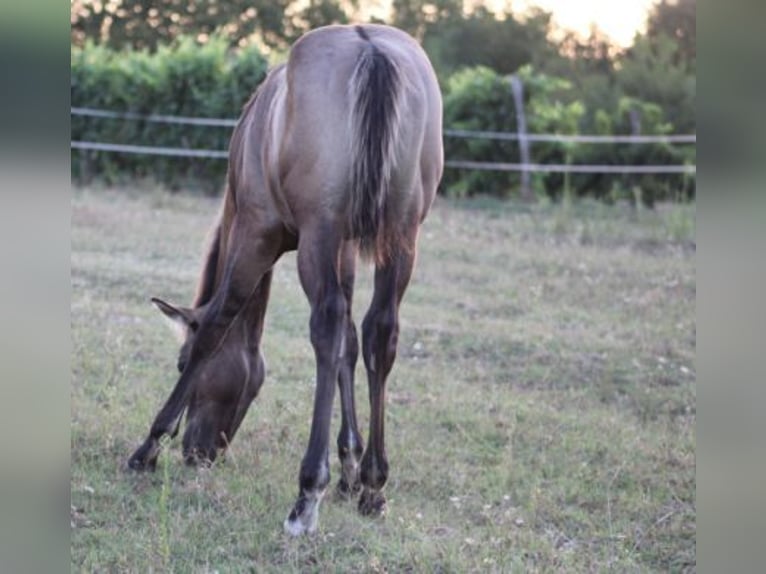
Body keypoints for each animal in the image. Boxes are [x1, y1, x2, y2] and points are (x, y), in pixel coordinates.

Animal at [127, 21, 444, 536]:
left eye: (179, 363)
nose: (199, 453)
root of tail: (370, 48)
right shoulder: (348, 247)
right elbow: (349, 346)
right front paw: (351, 469)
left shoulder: (256, 232)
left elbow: (217, 323)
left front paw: (149, 446)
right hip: (400, 235)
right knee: (379, 331)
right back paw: (374, 486)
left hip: (318, 232)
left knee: (327, 325)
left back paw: (307, 494)